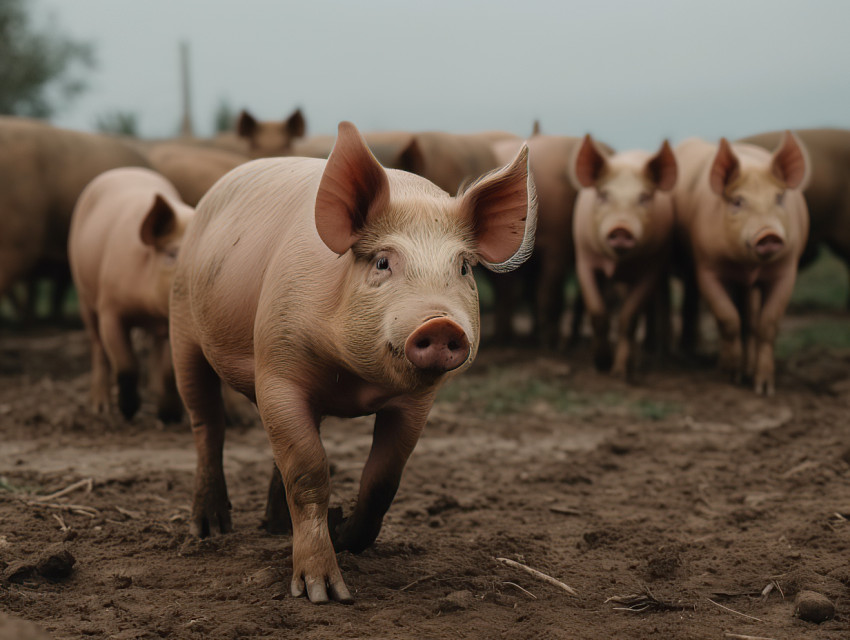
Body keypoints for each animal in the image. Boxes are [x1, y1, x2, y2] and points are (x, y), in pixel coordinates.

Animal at [69, 167, 194, 421]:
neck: (149, 311)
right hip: (84, 295)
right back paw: (100, 408)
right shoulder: (110, 309)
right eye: (172, 254)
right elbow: (126, 363)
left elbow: (169, 370)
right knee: (98, 347)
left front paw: (168, 417)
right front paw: (128, 412)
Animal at [169, 121, 537, 603]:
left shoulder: (415, 403)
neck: (355, 381)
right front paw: (325, 594)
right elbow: (308, 470)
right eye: (382, 262)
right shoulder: (278, 368)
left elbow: (383, 478)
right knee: (207, 423)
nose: (441, 324)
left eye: (462, 268)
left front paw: (344, 534)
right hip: (182, 323)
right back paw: (209, 529)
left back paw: (275, 527)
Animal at [570, 136, 677, 376]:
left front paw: (619, 373)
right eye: (603, 195)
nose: (621, 229)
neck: (617, 263)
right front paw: (600, 364)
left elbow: (629, 317)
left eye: (644, 197)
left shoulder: (651, 267)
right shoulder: (584, 260)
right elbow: (597, 312)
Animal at [672, 133, 809, 395]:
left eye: (779, 198)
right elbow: (728, 318)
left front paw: (764, 389)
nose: (769, 234)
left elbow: (767, 324)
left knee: (750, 321)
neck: (749, 266)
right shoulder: (707, 268)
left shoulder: (786, 271)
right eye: (737, 201)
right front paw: (729, 377)